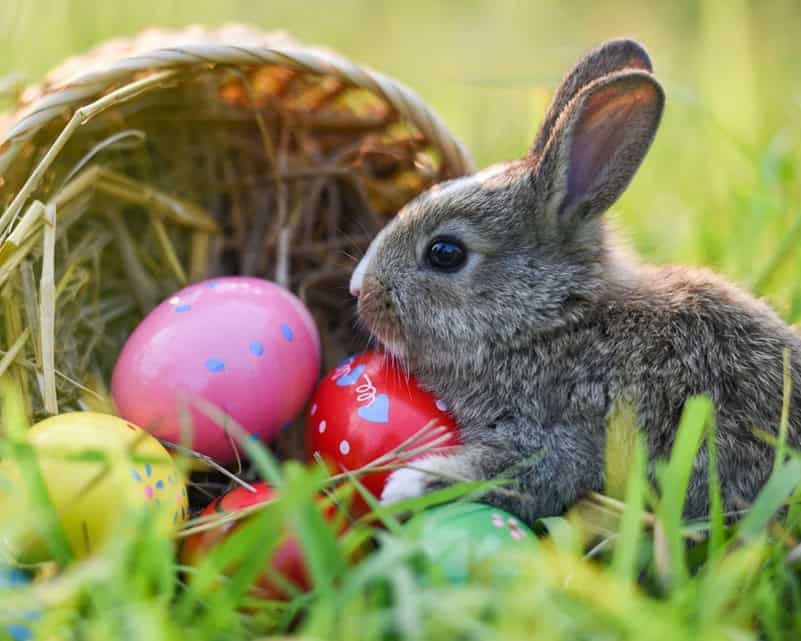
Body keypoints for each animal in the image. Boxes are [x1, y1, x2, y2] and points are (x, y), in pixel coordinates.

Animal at [346, 38, 800, 520]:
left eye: (445, 254)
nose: (359, 289)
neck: (554, 322)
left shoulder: (561, 431)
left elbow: (523, 472)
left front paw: (404, 487)